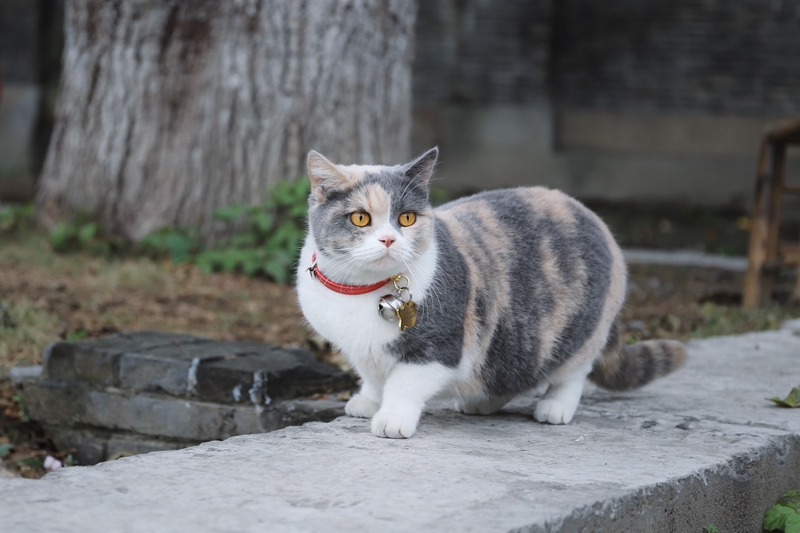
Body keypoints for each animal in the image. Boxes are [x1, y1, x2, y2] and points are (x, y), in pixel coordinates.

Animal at [296, 148, 684, 438]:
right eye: (360, 218)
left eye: (406, 218)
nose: (389, 239)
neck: (361, 289)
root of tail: (591, 215)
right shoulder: (360, 351)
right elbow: (373, 376)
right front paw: (367, 401)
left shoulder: (440, 346)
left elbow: (404, 383)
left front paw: (391, 418)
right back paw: (481, 401)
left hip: (581, 330)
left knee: (573, 370)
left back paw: (555, 406)